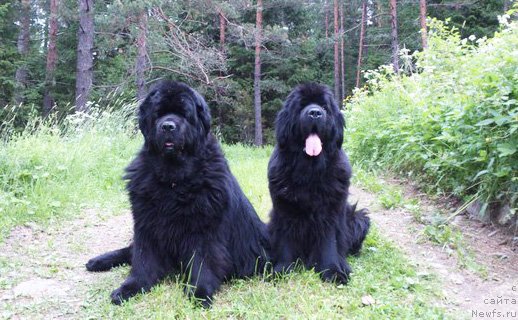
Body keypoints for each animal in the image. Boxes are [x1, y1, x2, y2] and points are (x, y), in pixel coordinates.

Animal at [86, 81, 270, 306]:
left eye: (184, 114)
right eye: (158, 114)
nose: (167, 126)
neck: (174, 180)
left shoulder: (204, 229)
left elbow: (202, 262)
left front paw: (199, 292)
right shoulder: (146, 224)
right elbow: (142, 259)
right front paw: (131, 287)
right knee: (129, 250)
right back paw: (98, 260)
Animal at [266, 83, 372, 284]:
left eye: (324, 107)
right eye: (301, 105)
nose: (315, 113)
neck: (310, 169)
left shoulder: (330, 212)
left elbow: (329, 243)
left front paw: (333, 271)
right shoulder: (284, 209)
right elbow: (285, 241)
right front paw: (281, 269)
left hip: (358, 217)